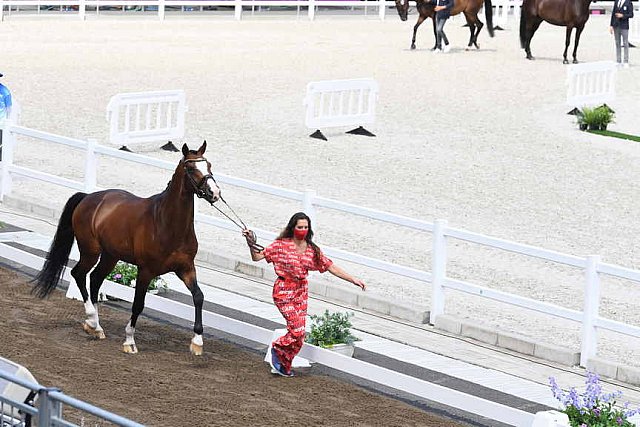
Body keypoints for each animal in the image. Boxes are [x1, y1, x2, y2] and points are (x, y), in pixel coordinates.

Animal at [33, 142, 222, 356]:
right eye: (190, 168)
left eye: (208, 165)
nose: (214, 192)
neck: (167, 223)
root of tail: (89, 197)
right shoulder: (146, 271)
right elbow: (138, 304)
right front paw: (129, 341)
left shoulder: (186, 268)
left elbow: (198, 297)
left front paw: (197, 342)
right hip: (91, 252)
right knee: (79, 274)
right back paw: (91, 320)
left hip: (110, 256)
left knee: (95, 279)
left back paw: (96, 326)